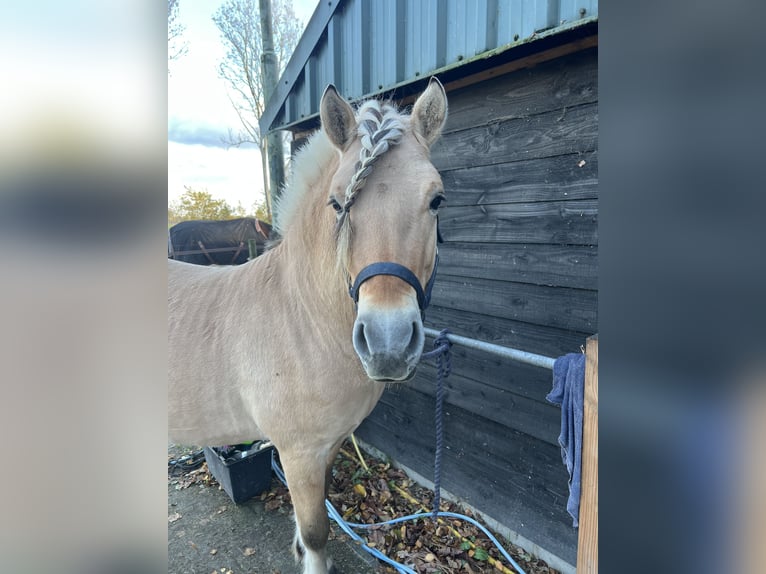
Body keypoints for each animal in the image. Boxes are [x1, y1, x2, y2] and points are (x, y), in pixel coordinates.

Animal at [168, 78, 448, 574]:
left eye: (436, 200)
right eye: (338, 203)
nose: (388, 343)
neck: (301, 320)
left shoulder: (328, 446)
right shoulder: (297, 454)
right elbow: (318, 533)